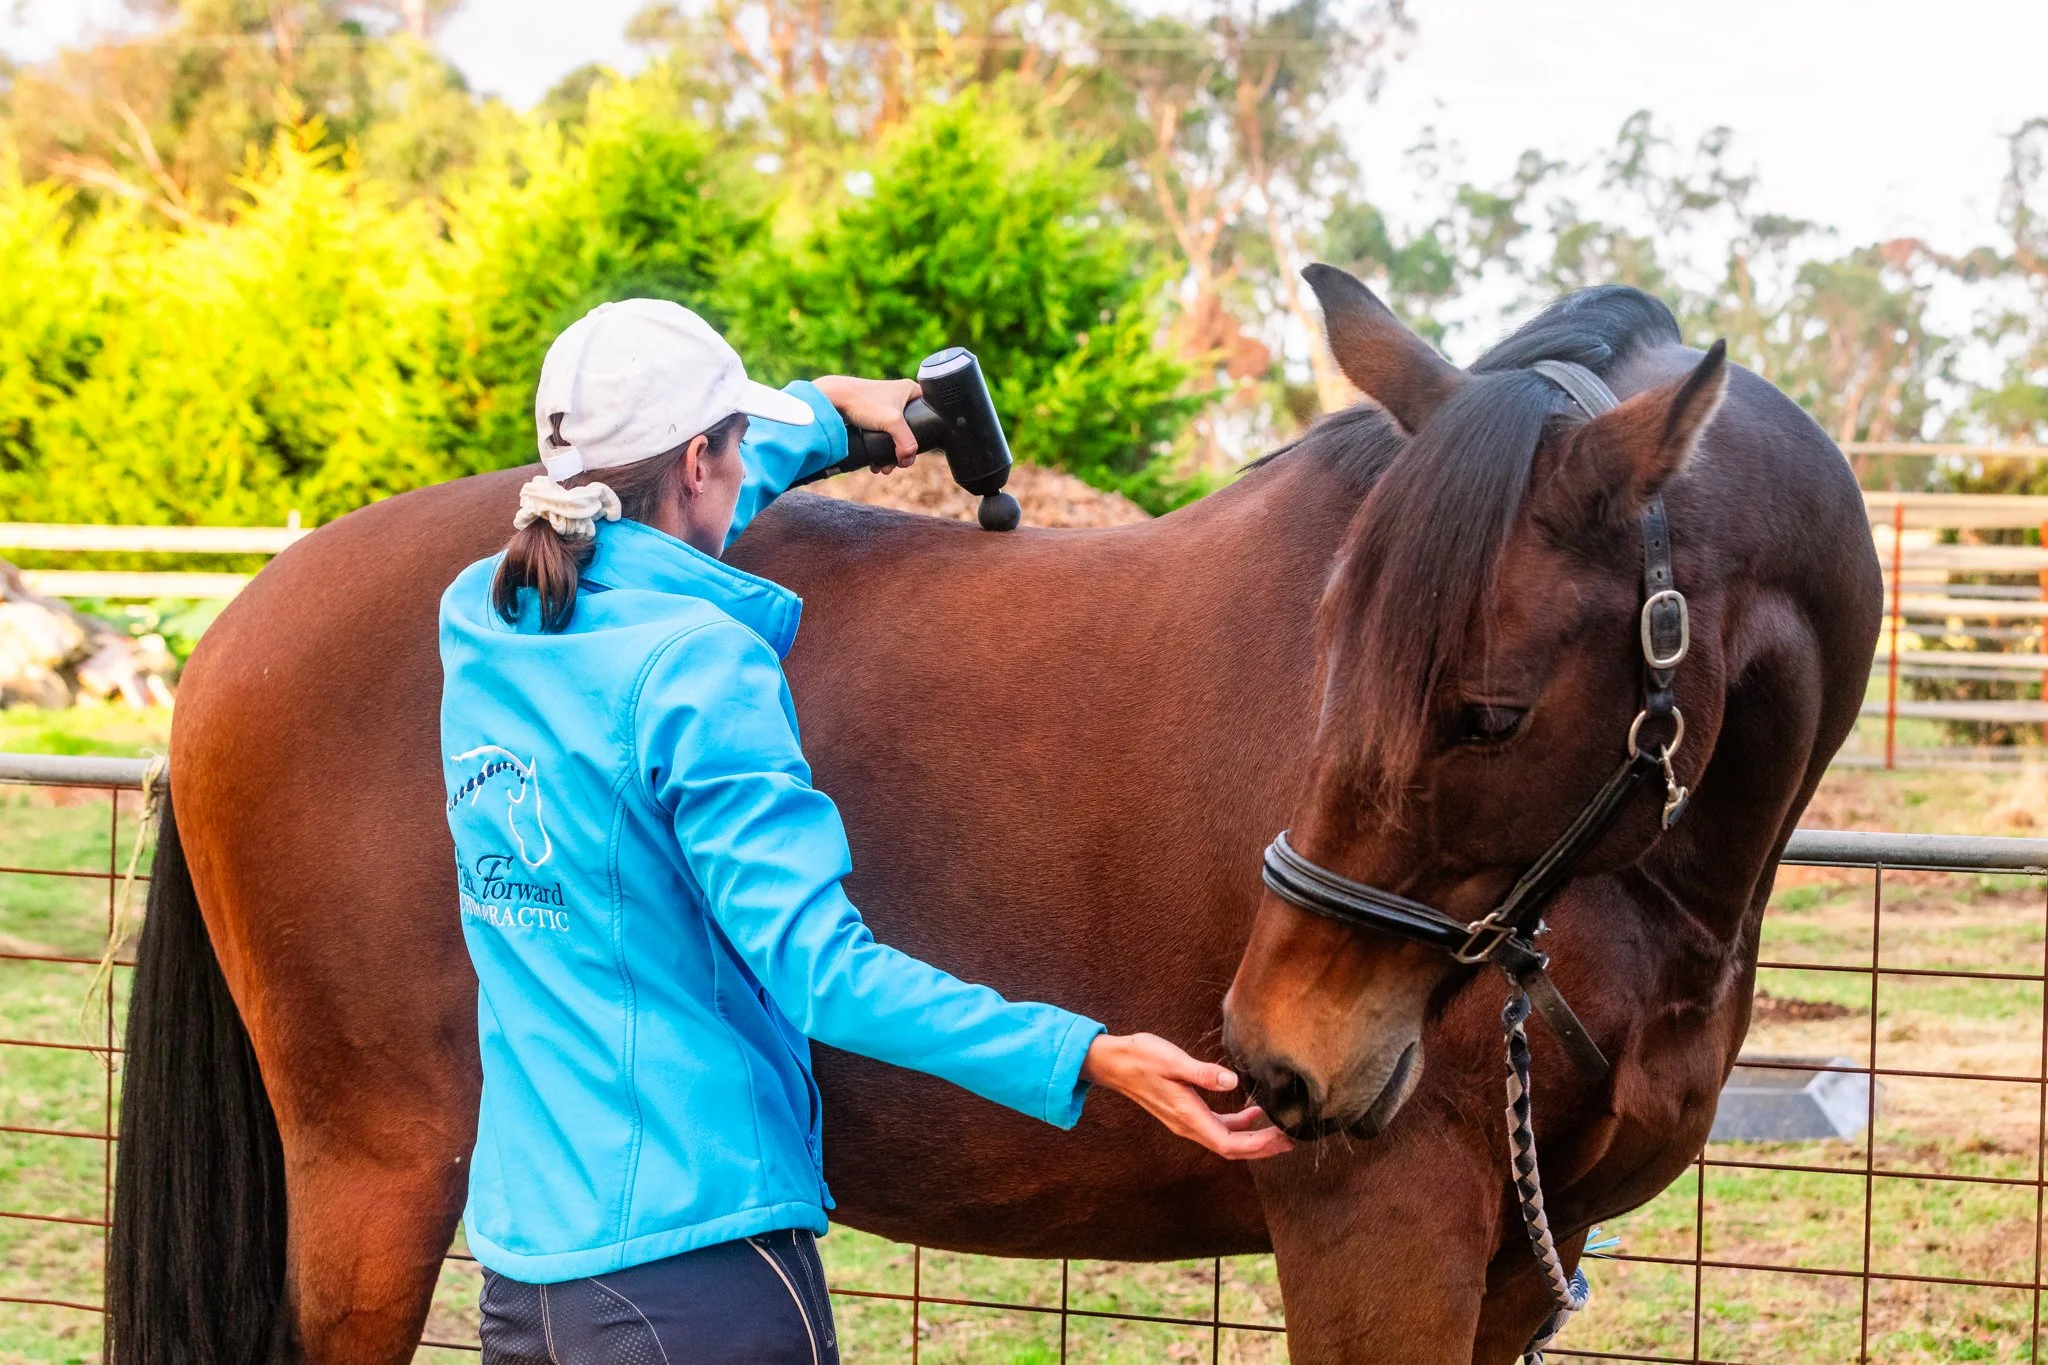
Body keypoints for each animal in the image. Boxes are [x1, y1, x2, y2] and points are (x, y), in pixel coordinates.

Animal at [106, 267, 1880, 1364]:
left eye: (1489, 710)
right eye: (1332, 652)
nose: (1277, 1056)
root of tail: (235, 630)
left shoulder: (1521, 1263)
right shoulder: (1380, 1236)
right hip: (376, 1172)